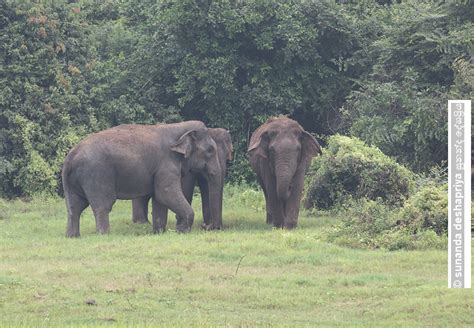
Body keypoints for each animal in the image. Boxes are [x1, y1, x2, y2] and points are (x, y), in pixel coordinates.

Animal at [62, 120, 223, 236]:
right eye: (210, 150)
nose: (206, 226)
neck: (178, 127)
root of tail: (70, 156)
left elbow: (159, 199)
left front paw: (159, 233)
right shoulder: (166, 164)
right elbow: (166, 194)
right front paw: (182, 231)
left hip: (75, 180)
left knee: (75, 206)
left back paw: (72, 236)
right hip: (96, 174)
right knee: (102, 205)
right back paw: (104, 235)